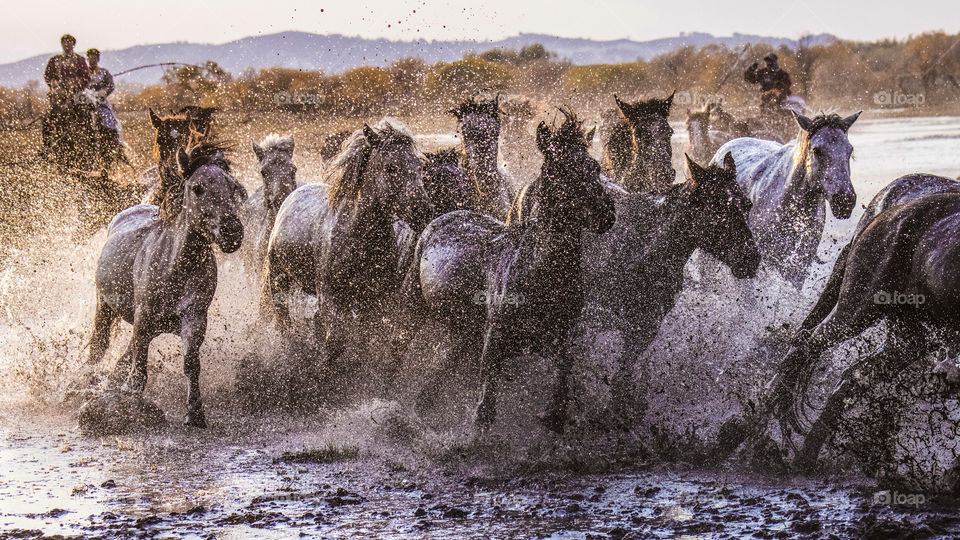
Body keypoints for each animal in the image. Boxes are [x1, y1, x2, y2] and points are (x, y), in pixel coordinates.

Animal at [89, 141, 248, 428]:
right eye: (198, 188)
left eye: (233, 187)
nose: (232, 232)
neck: (175, 266)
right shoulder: (143, 316)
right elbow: (139, 363)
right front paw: (131, 397)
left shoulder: (194, 317)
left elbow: (190, 363)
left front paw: (195, 413)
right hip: (104, 305)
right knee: (99, 345)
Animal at [400, 108, 616, 430]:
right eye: (558, 170)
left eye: (593, 166)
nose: (605, 213)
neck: (541, 272)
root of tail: (449, 214)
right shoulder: (494, 341)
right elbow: (485, 408)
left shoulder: (561, 336)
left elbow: (565, 373)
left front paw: (553, 415)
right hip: (413, 302)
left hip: (466, 329)